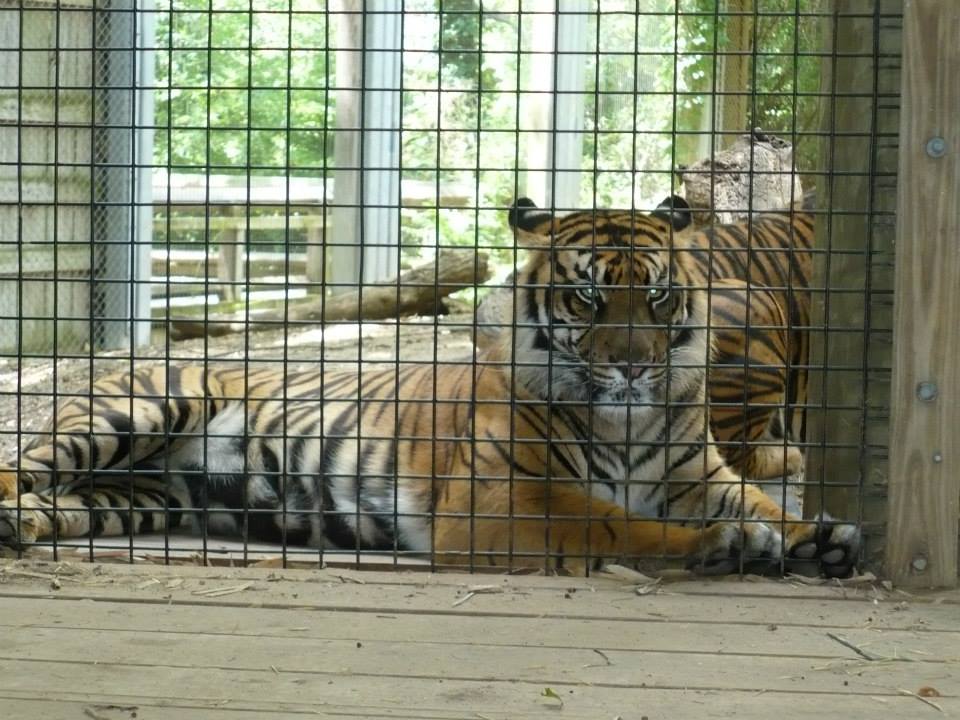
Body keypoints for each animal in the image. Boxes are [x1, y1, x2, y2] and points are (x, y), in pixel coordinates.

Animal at [0, 198, 857, 577]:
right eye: (587, 297)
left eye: (657, 296)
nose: (637, 365)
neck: (628, 422)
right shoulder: (505, 503)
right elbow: (618, 526)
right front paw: (724, 547)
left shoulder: (700, 477)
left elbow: (767, 503)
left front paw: (819, 537)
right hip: (137, 408)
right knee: (24, 465)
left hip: (145, 498)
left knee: (63, 502)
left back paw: (21, 528)